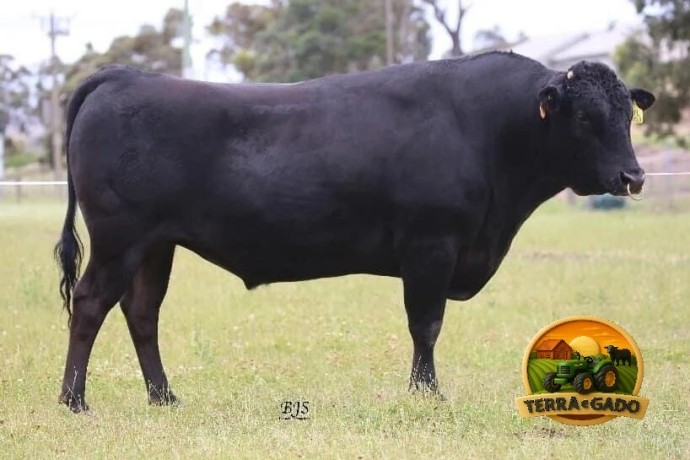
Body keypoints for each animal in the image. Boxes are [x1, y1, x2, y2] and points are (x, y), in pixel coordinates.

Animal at [55, 51, 655, 412]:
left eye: (627, 115)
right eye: (584, 118)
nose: (633, 177)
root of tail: (123, 76)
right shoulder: (432, 247)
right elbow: (426, 325)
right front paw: (426, 395)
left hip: (155, 245)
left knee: (142, 312)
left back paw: (164, 397)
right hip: (119, 238)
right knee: (90, 304)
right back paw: (74, 401)